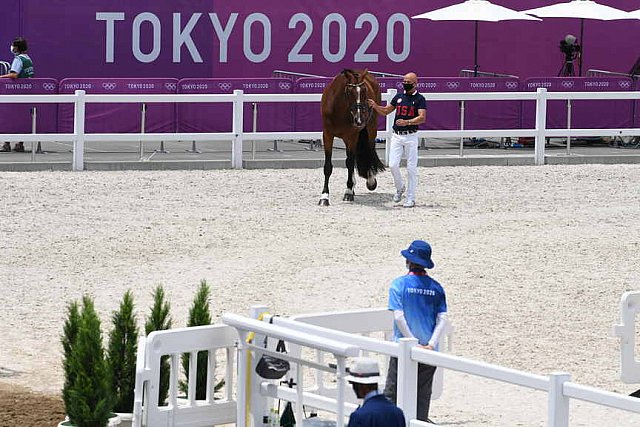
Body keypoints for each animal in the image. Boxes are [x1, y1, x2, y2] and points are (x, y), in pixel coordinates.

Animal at [318, 68, 382, 206]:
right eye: (350, 92)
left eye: (364, 91)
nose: (359, 119)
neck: (338, 109)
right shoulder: (327, 135)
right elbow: (328, 167)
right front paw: (324, 197)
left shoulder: (352, 136)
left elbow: (350, 163)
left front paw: (348, 192)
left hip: (370, 129)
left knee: (367, 151)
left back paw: (369, 181)